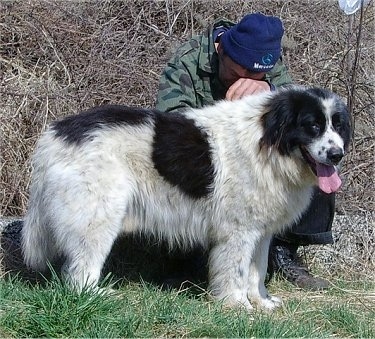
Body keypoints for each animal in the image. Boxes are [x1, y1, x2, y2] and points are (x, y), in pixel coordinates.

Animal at [22, 86, 352, 312]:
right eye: (312, 126)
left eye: (337, 126)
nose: (337, 154)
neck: (268, 142)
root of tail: (55, 134)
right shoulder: (238, 233)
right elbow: (236, 271)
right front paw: (238, 306)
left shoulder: (260, 232)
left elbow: (255, 272)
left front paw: (261, 302)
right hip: (98, 217)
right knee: (81, 268)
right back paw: (95, 296)